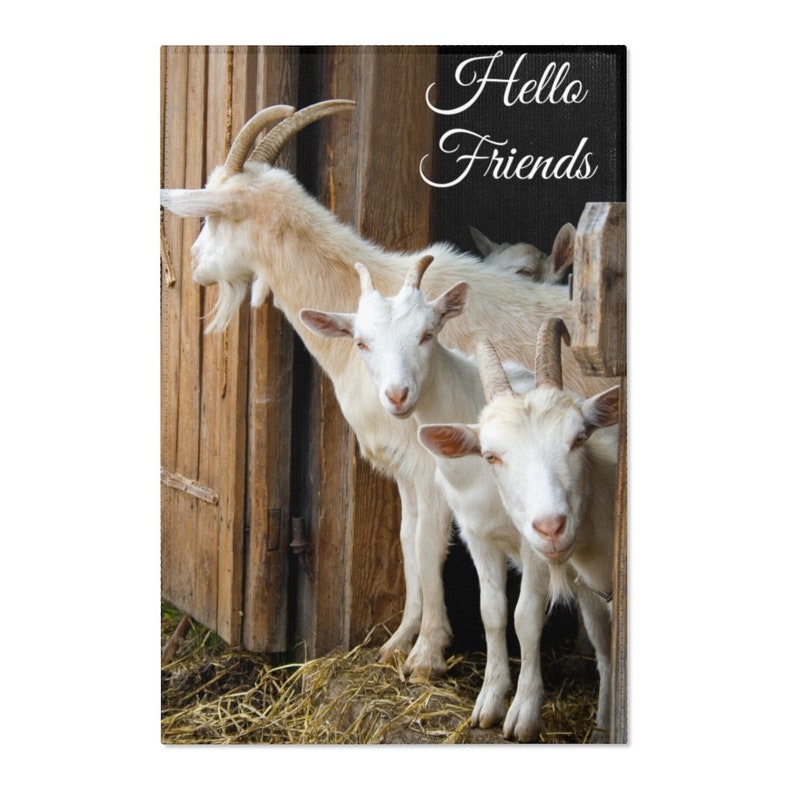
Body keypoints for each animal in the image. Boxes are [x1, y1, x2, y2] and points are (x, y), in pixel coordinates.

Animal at [159, 100, 617, 681]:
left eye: (214, 215)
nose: (194, 264)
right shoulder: (404, 468)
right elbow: (406, 543)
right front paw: (399, 640)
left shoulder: (435, 467)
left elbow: (428, 547)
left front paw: (426, 654)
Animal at [419, 318, 619, 741]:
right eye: (491, 456)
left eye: (579, 438)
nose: (551, 526)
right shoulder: (480, 539)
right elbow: (492, 611)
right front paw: (490, 701)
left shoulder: (535, 551)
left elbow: (526, 617)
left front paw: (523, 713)